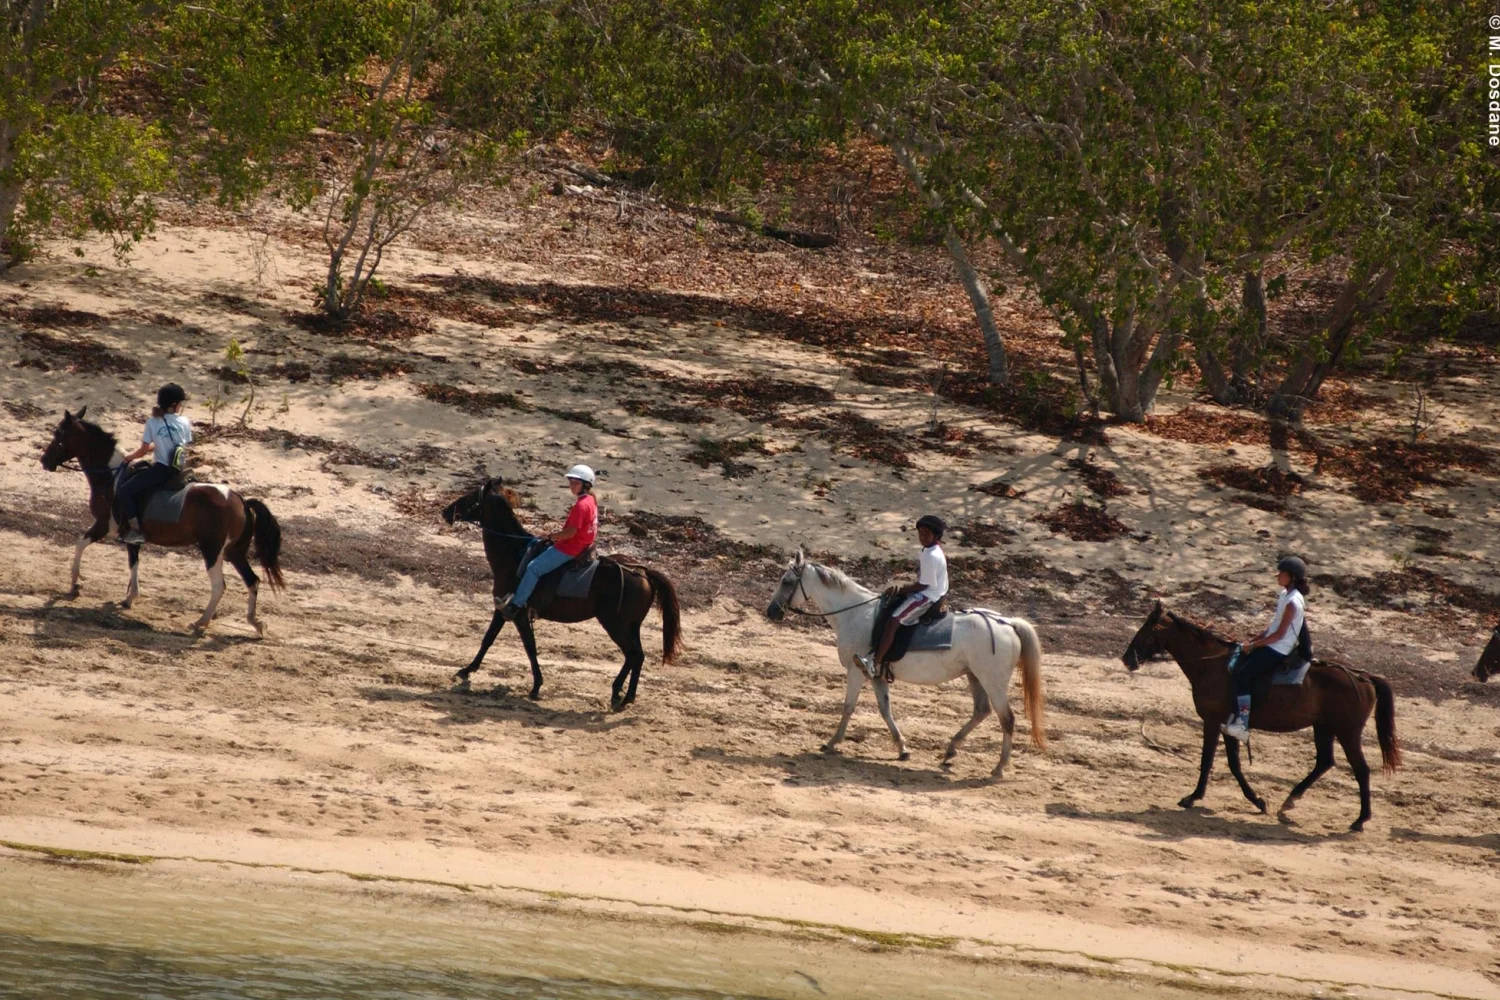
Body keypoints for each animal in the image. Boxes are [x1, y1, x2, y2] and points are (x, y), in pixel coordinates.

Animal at [39, 407, 285, 632]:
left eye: (58, 436)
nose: (43, 461)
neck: (112, 476)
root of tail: (240, 500)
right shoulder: (131, 535)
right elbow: (133, 563)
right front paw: (129, 598)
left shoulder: (104, 525)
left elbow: (80, 543)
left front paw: (75, 583)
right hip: (235, 551)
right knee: (252, 580)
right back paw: (255, 623)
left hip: (212, 549)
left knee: (219, 586)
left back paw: (201, 622)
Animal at [441, 476, 684, 710]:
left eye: (471, 495)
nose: (445, 511)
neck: (515, 555)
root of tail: (642, 572)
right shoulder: (503, 609)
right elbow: (489, 639)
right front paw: (468, 669)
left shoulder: (516, 613)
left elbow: (529, 647)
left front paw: (536, 686)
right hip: (631, 627)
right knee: (637, 656)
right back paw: (622, 694)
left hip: (616, 625)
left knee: (633, 655)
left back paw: (622, 695)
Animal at [762, 551, 1044, 779]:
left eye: (786, 582)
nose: (771, 612)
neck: (854, 613)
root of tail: (1008, 623)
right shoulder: (876, 676)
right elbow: (885, 710)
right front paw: (902, 748)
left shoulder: (856, 671)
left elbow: (848, 706)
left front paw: (832, 742)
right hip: (975, 676)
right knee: (981, 711)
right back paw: (951, 749)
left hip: (992, 681)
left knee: (1007, 718)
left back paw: (999, 767)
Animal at [1122, 602, 1398, 839]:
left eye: (1146, 630)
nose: (1127, 659)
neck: (1213, 666)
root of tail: (1363, 677)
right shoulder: (1228, 725)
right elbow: (1234, 764)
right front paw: (1257, 800)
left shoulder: (1212, 721)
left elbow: (1208, 761)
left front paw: (1193, 797)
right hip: (1324, 727)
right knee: (1324, 762)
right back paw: (1289, 802)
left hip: (1347, 731)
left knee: (1360, 769)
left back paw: (1360, 820)